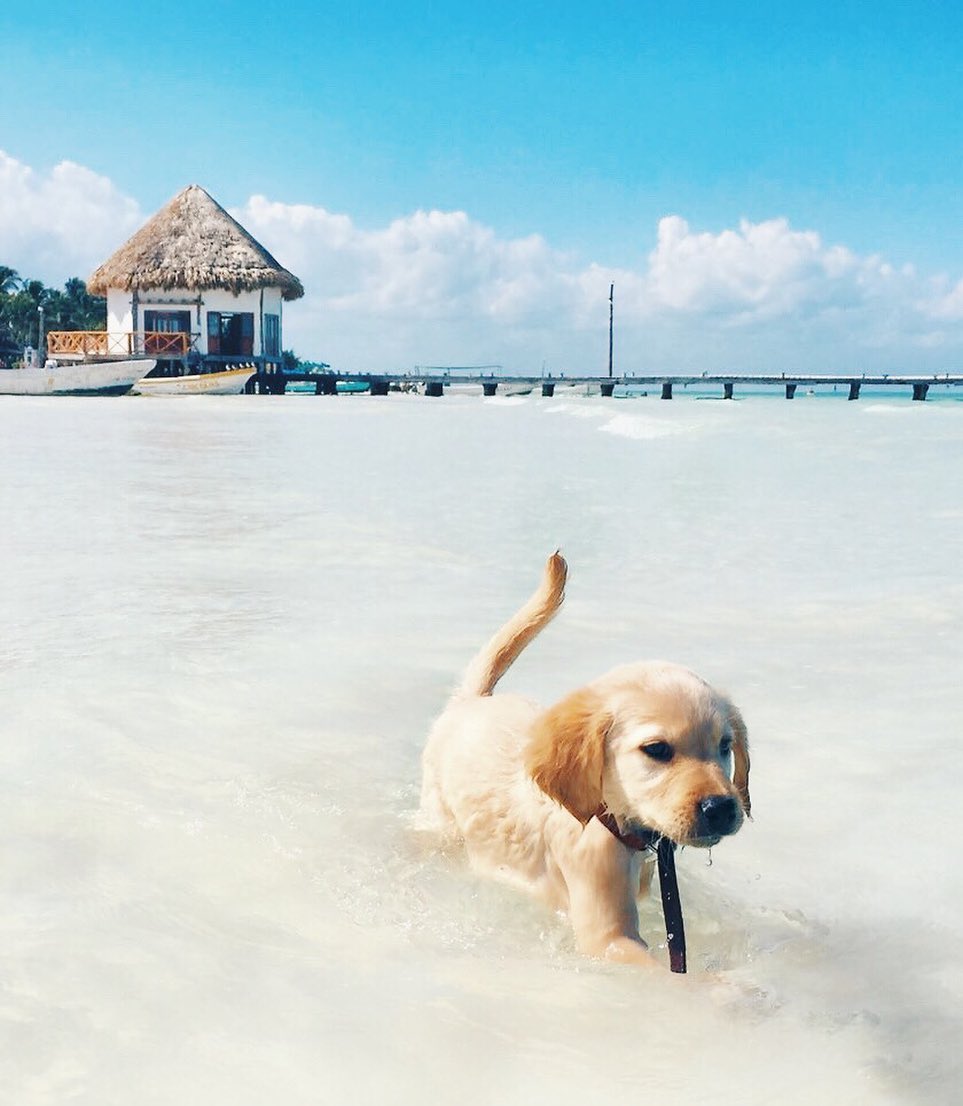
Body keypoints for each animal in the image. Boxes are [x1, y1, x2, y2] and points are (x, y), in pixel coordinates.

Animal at [417, 553, 747, 968]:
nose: (721, 807)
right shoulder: (607, 937)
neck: (608, 817)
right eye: (657, 749)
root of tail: (473, 699)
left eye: (725, 746)